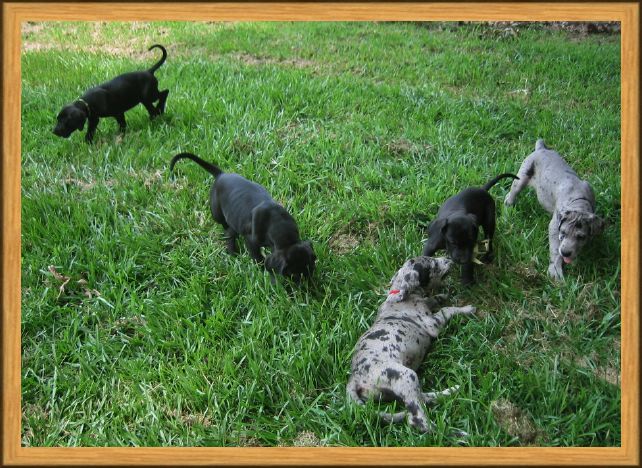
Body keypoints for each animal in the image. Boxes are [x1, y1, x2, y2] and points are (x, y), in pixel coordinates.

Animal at [170, 153, 316, 282]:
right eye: (293, 275)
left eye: (311, 268)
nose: (307, 285)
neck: (279, 225)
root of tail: (221, 175)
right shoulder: (251, 240)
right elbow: (257, 257)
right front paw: (262, 270)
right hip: (216, 212)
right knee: (225, 227)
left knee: (230, 230)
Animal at [344, 258, 476, 434]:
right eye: (433, 265)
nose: (450, 259)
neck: (403, 296)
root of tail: (354, 377)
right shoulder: (432, 324)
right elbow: (447, 309)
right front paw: (466, 308)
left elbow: (432, 300)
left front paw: (441, 296)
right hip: (405, 375)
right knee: (417, 419)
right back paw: (452, 433)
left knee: (421, 398)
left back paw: (449, 391)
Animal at [502, 137, 604, 280]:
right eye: (563, 232)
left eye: (581, 237)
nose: (565, 253)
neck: (578, 200)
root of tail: (541, 148)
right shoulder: (555, 226)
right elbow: (555, 249)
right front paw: (555, 270)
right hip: (521, 177)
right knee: (511, 195)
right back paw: (508, 211)